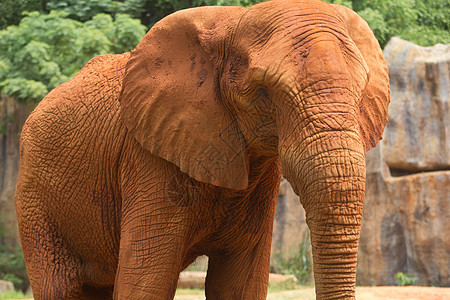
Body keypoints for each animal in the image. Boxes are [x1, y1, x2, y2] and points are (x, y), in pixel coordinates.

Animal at [13, 0, 386, 298]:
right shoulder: (148, 157)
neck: (233, 21)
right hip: (36, 203)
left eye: (362, 90)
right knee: (59, 286)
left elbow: (239, 285)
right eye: (264, 93)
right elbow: (146, 284)